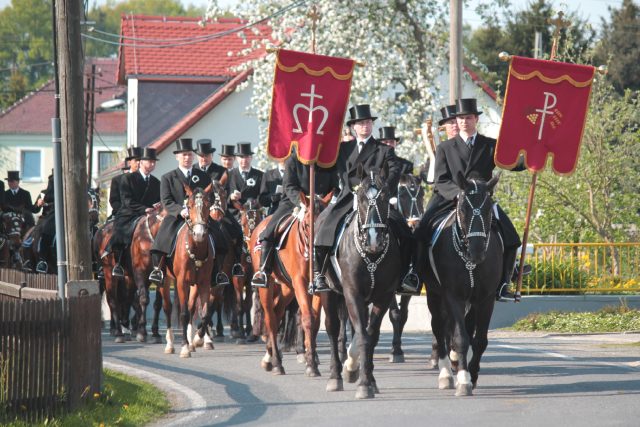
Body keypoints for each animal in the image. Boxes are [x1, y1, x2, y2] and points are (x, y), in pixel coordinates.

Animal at [248, 191, 332, 378]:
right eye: (308, 223)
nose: (317, 253)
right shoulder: (300, 283)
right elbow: (307, 318)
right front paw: (311, 365)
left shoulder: (318, 289)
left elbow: (315, 322)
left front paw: (311, 359)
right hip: (268, 286)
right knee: (271, 318)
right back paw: (277, 363)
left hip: (288, 288)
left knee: (278, 311)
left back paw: (269, 357)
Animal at [322, 166, 402, 400]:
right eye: (360, 197)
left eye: (385, 197)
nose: (374, 239)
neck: (371, 256)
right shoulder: (353, 294)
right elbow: (363, 336)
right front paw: (363, 383)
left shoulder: (383, 296)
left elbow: (370, 335)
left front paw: (369, 379)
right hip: (328, 292)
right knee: (332, 328)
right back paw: (335, 376)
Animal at [422, 173, 502, 398]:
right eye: (464, 208)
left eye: (489, 208)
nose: (477, 251)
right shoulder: (453, 296)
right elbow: (460, 338)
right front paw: (464, 380)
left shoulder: (486, 298)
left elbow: (480, 340)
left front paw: (472, 375)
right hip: (434, 295)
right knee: (439, 328)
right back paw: (446, 374)